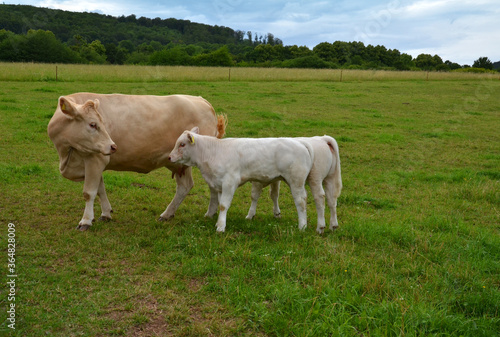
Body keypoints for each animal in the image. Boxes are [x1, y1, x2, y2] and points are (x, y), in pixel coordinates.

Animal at [47, 92, 227, 230]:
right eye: (92, 124)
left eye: (99, 123)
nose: (113, 146)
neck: (66, 154)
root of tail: (201, 100)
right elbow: (100, 189)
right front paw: (105, 213)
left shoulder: (95, 159)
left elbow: (89, 192)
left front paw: (85, 221)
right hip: (179, 163)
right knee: (185, 186)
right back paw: (169, 214)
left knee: (211, 188)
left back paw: (209, 213)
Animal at [170, 127, 314, 232]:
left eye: (182, 144)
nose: (170, 157)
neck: (214, 152)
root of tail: (300, 143)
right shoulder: (219, 185)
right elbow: (220, 203)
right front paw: (218, 223)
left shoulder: (229, 182)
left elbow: (223, 205)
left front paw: (221, 227)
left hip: (296, 181)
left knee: (301, 201)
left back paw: (302, 226)